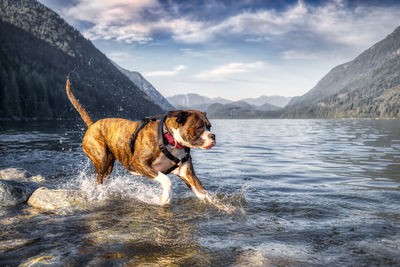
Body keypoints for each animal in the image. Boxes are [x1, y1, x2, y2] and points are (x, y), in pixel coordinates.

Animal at [66, 78, 216, 206]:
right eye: (199, 127)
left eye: (209, 126)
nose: (213, 136)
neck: (171, 139)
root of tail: (92, 125)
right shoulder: (139, 163)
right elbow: (166, 180)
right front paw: (164, 198)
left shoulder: (188, 175)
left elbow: (204, 194)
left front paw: (219, 206)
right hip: (101, 159)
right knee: (98, 180)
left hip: (109, 163)